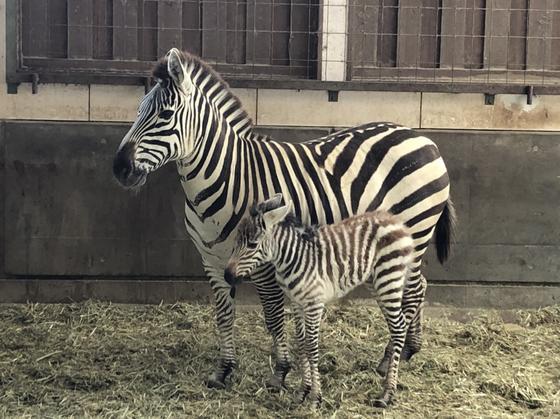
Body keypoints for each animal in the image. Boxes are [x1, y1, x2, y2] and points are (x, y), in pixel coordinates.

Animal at [225, 195, 414, 408]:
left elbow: (311, 347)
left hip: (389, 277)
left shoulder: (314, 304)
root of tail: (395, 220)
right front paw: (302, 392)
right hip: (376, 281)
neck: (293, 258)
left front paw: (316, 397)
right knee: (398, 324)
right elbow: (301, 343)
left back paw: (388, 393)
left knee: (398, 327)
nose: (227, 276)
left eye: (252, 244)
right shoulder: (296, 303)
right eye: (236, 241)